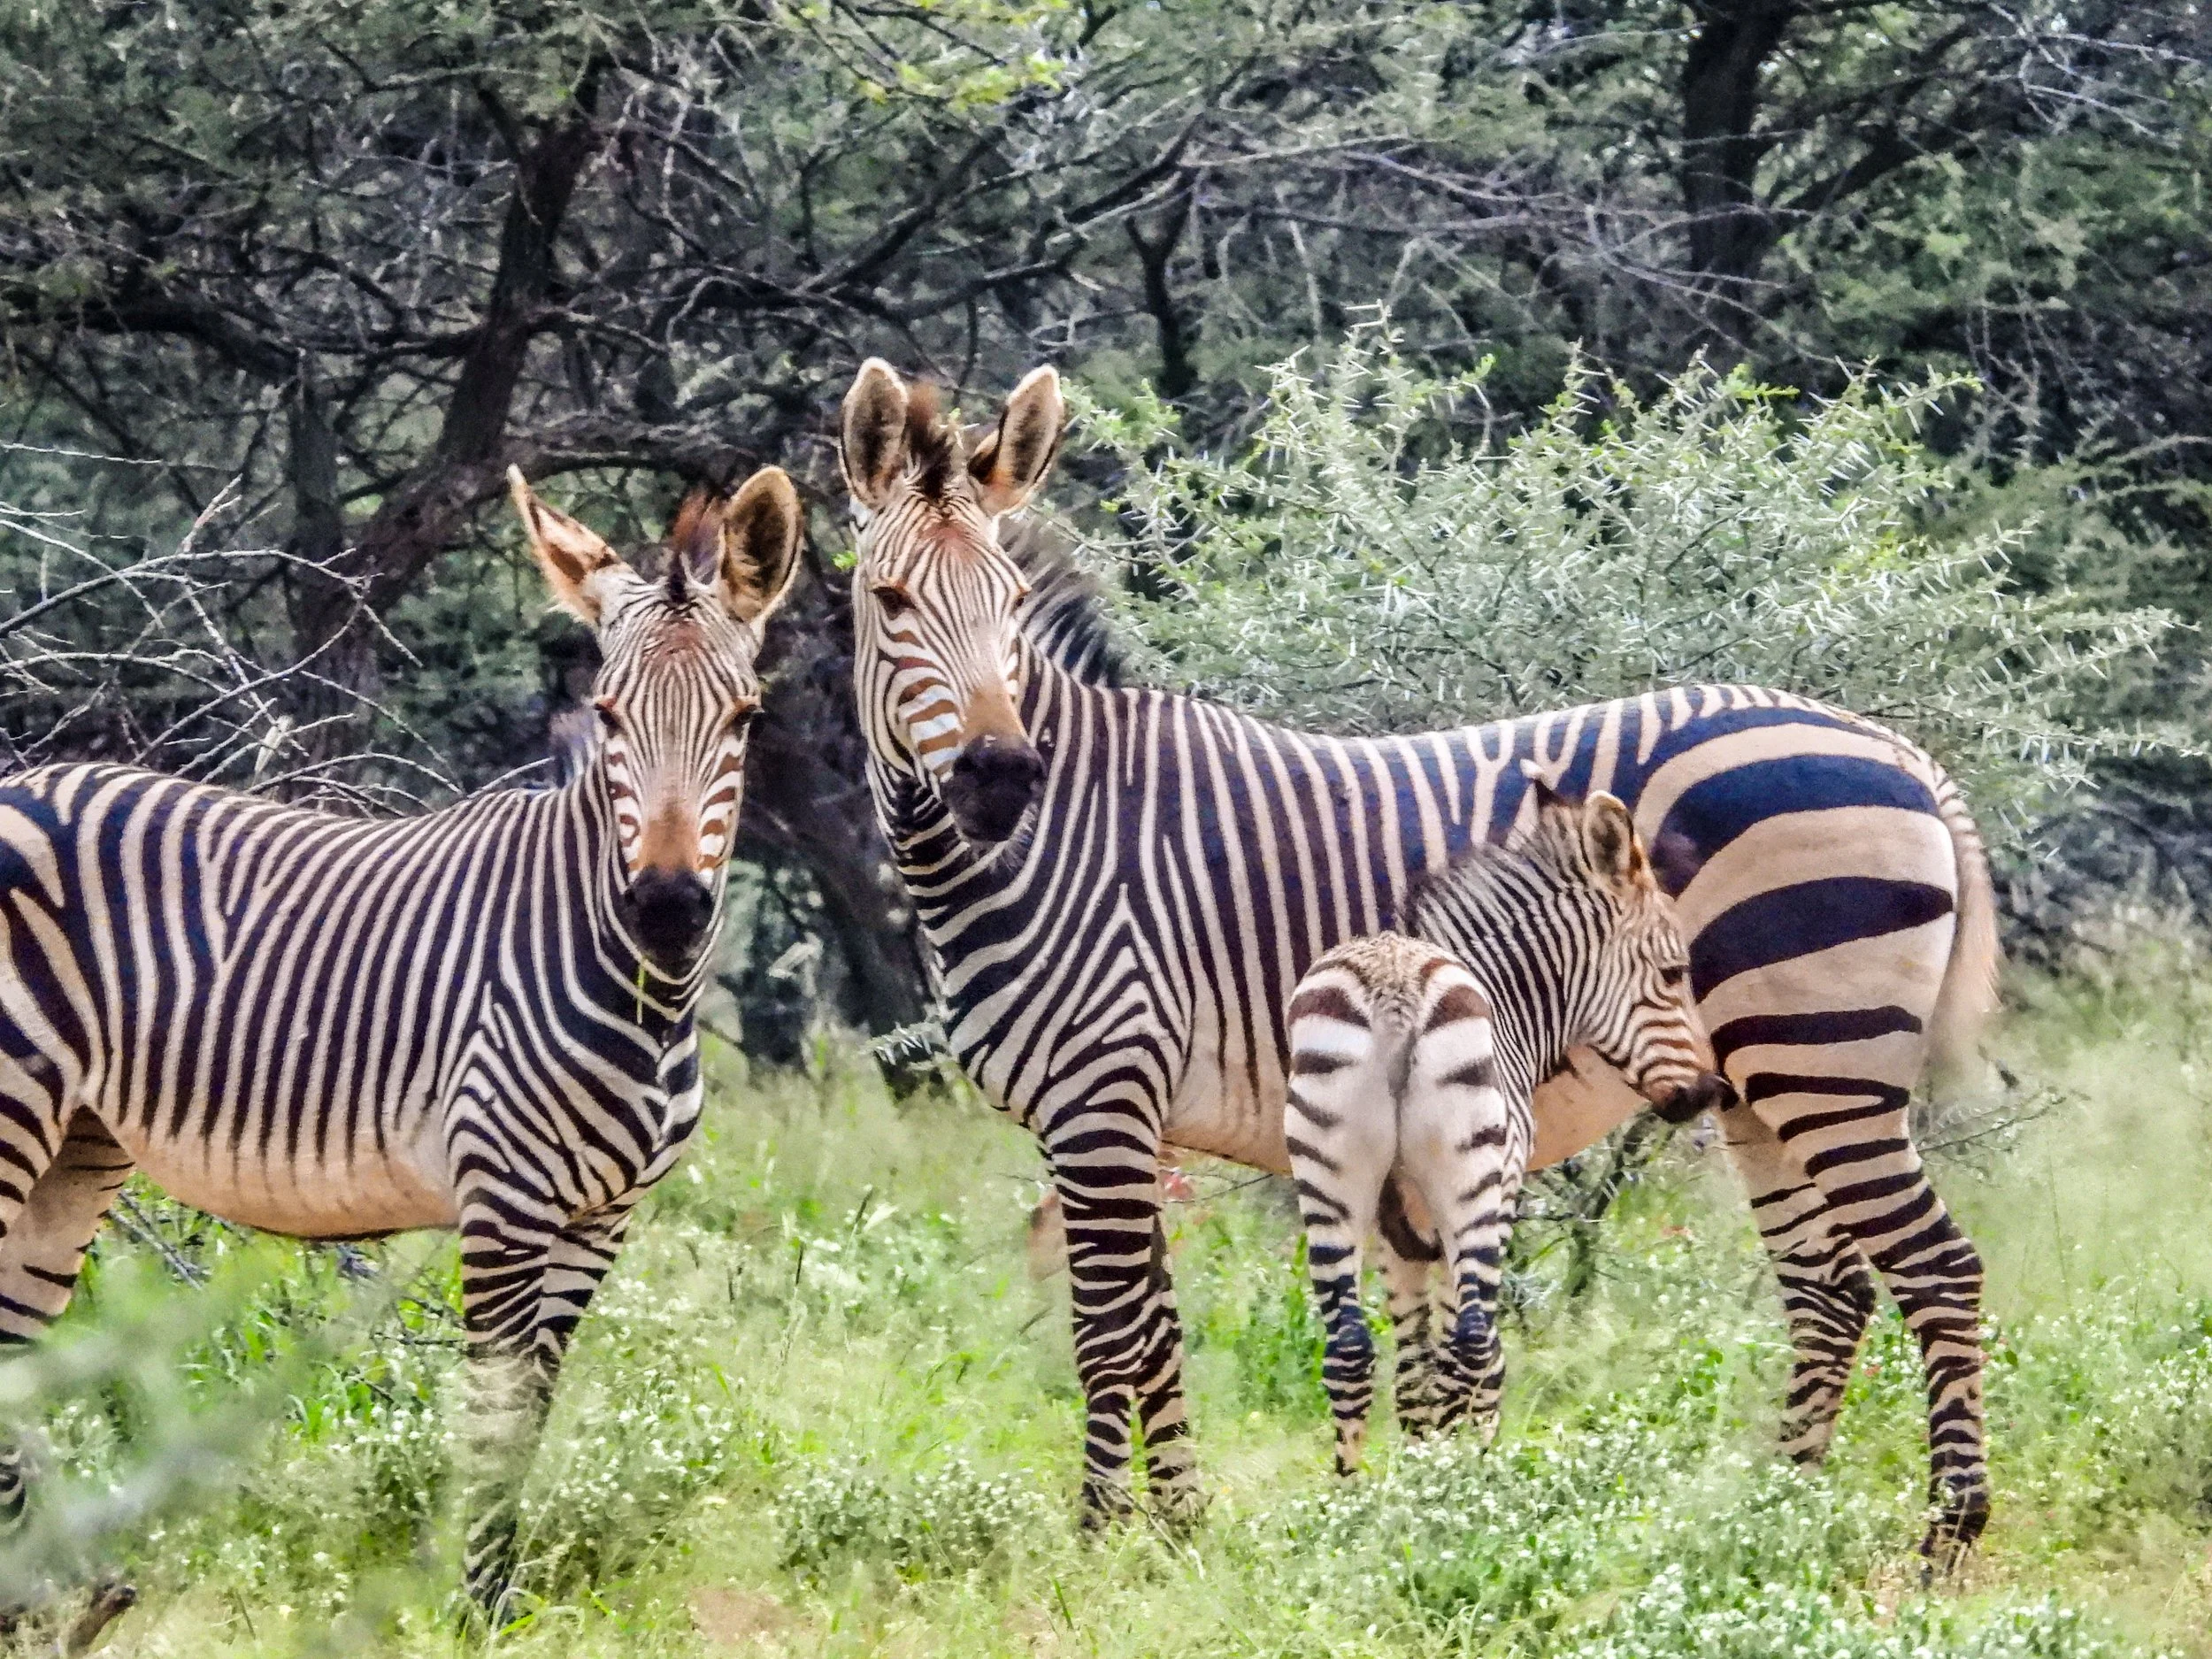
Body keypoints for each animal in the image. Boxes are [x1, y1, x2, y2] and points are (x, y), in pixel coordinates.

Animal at [0, 464, 802, 1614]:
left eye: (742, 717)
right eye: (607, 715)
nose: (664, 910)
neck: (640, 992)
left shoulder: (599, 1220)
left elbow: (529, 1417)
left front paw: (497, 1608)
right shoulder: (505, 1198)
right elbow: (493, 1419)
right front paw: (474, 1614)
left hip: (76, 1143)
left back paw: (50, 1608)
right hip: (14, 1104)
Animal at [1286, 774, 1729, 1477]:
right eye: (1674, 973)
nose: (1707, 1093)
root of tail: (1394, 986)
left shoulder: (1399, 1230)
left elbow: (1415, 1373)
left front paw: (1420, 1469)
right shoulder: (1493, 1192)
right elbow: (1471, 1356)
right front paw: (1461, 1466)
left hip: (1327, 1171)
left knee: (1348, 1347)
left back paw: (1356, 1495)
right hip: (1471, 1181)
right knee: (1473, 1340)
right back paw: (1472, 1483)